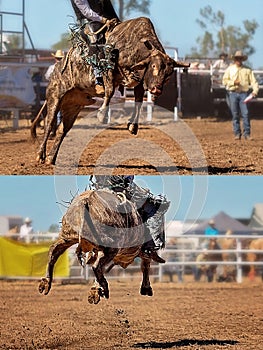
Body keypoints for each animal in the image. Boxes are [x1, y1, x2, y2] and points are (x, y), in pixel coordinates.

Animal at [32, 16, 190, 164]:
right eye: (153, 66)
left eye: (169, 73)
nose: (156, 89)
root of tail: (56, 70)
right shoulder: (108, 68)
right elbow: (109, 91)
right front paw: (102, 114)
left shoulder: (139, 81)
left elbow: (138, 102)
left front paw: (133, 126)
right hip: (54, 97)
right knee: (49, 124)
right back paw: (40, 155)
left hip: (73, 106)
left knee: (62, 130)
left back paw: (51, 158)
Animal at [39, 189, 167, 304]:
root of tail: (87, 200)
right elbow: (146, 264)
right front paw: (146, 288)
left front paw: (95, 290)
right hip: (111, 246)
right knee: (96, 266)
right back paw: (104, 287)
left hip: (67, 236)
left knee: (53, 251)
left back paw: (45, 283)